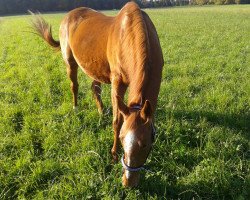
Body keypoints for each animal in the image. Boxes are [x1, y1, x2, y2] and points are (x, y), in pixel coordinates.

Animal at [30, 1, 164, 188]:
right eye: (121, 138)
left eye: (145, 144)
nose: (128, 182)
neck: (130, 34)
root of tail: (69, 16)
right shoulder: (117, 83)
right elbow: (117, 121)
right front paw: (113, 155)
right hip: (70, 62)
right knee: (74, 86)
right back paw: (76, 108)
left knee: (95, 88)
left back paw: (101, 111)